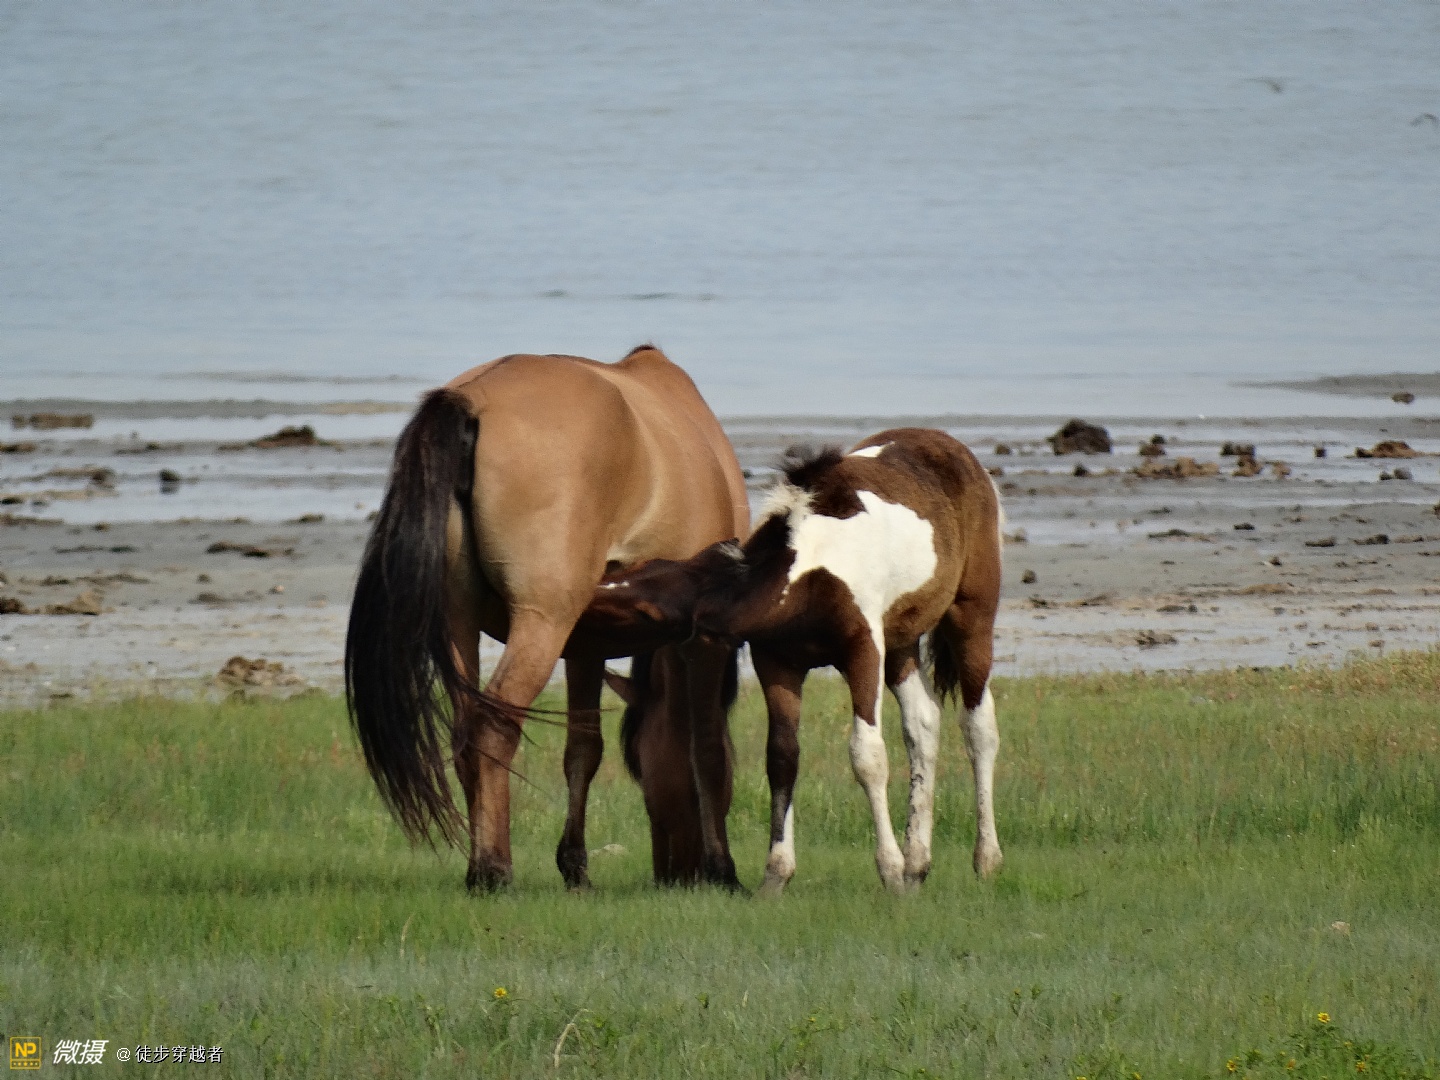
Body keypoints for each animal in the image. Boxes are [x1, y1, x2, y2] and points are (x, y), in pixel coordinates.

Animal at [345, 345, 750, 892]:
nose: (671, 874)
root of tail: (473, 401)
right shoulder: (704, 639)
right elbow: (706, 748)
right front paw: (723, 869)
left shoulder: (587, 642)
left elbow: (584, 749)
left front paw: (575, 866)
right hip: (542, 622)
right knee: (494, 726)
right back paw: (491, 869)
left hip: (461, 620)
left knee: (467, 730)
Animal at [580, 428, 1004, 894]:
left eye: (634, 606)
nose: (579, 601)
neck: (806, 573)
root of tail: (948, 443)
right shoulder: (778, 662)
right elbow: (782, 757)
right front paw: (776, 874)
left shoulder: (863, 649)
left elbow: (868, 755)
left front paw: (888, 870)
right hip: (902, 642)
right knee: (923, 725)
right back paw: (917, 864)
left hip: (970, 616)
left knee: (978, 727)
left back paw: (984, 859)